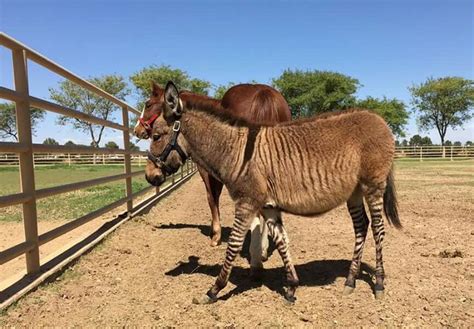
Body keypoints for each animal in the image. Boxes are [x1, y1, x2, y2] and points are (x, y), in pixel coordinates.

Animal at [133, 81, 288, 249]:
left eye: (148, 104)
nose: (136, 130)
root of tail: (263, 93)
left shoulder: (207, 171)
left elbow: (212, 198)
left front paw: (216, 235)